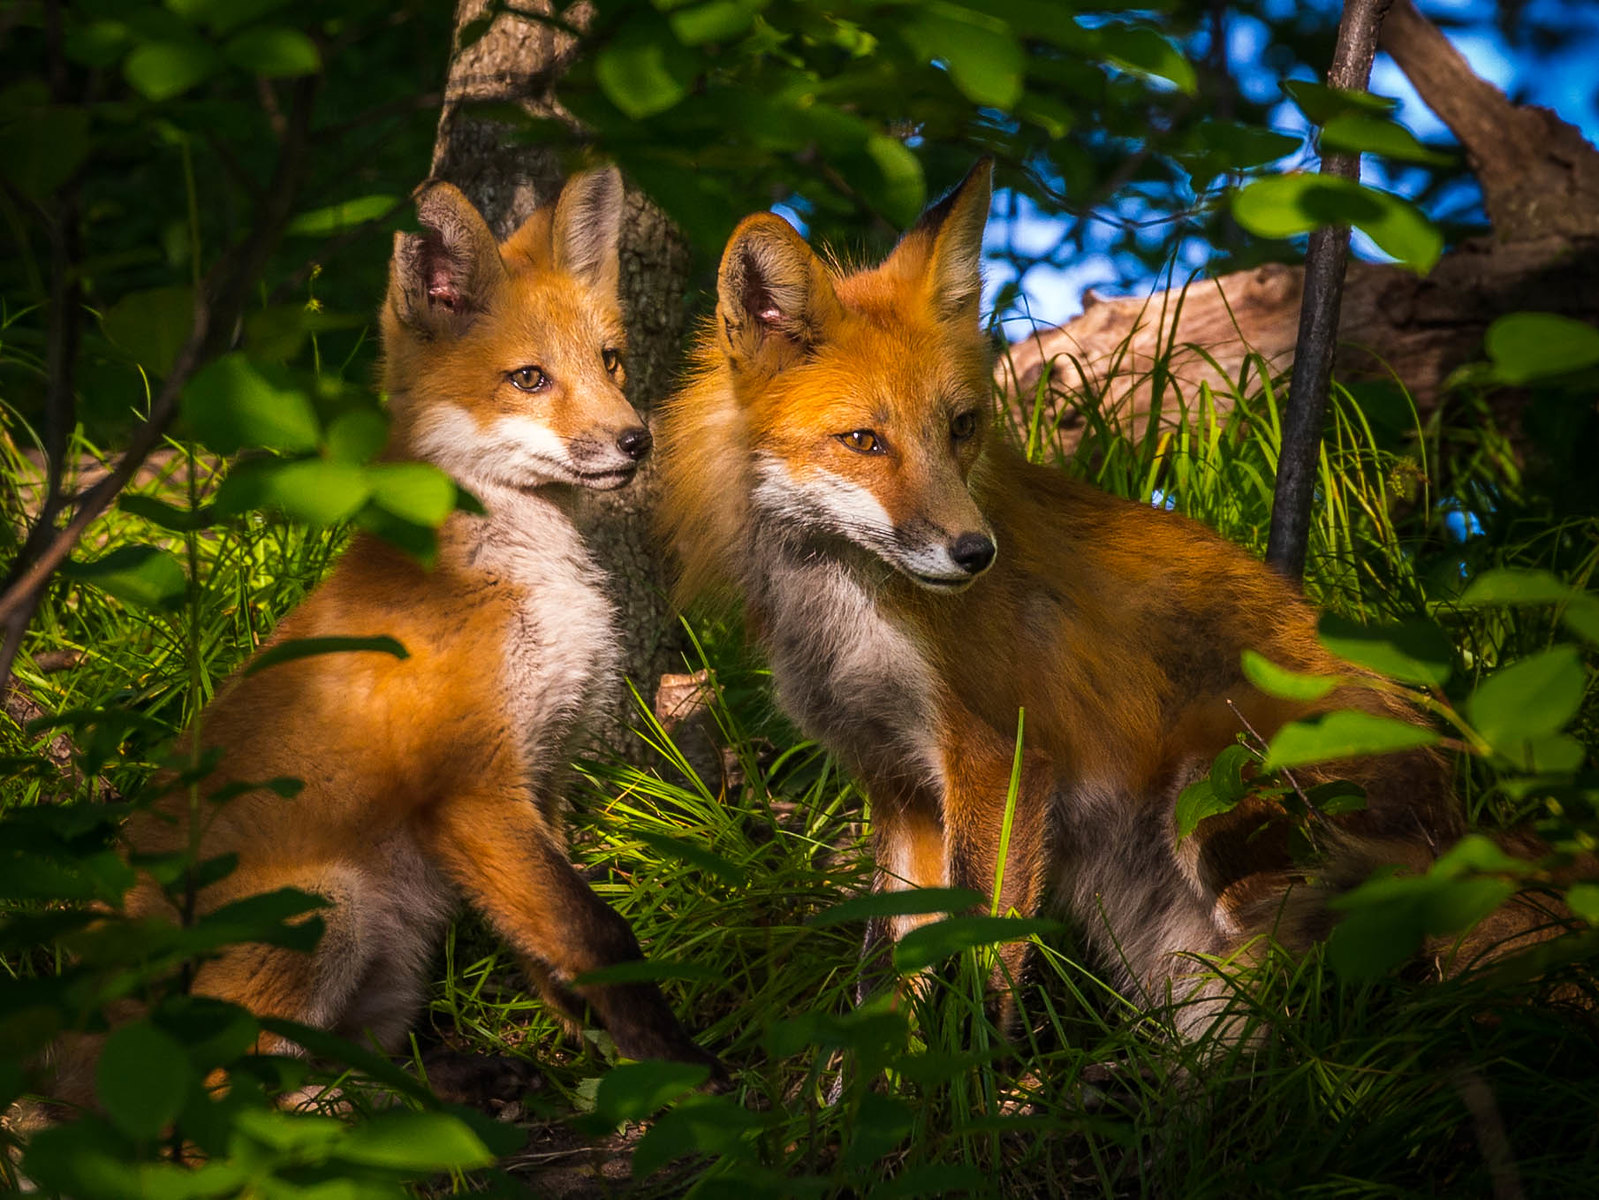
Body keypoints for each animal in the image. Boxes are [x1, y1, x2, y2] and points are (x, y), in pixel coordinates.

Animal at [47, 168, 723, 1107]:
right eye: (529, 378)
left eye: (611, 362)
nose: (636, 440)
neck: (523, 578)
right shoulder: (470, 784)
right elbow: (599, 935)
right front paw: (678, 1072)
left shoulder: (539, 773)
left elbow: (552, 950)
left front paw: (594, 1057)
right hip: (322, 907)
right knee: (224, 1109)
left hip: (394, 960)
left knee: (351, 1076)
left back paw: (457, 1083)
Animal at [658, 160, 1564, 1037]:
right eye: (863, 442)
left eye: (960, 427)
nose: (976, 553)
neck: (844, 616)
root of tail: (1462, 808)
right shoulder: (897, 783)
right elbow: (884, 979)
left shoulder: (997, 757)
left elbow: (980, 958)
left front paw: (974, 1078)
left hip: (1220, 796)